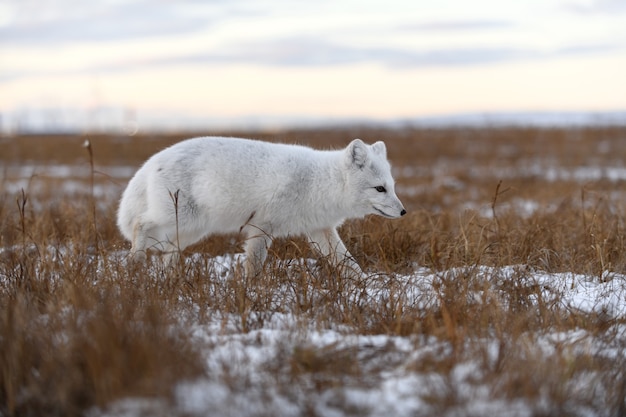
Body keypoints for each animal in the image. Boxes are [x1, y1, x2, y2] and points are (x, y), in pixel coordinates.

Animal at [116, 137, 404, 276]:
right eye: (380, 188)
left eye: (392, 186)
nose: (403, 212)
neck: (321, 182)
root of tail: (154, 160)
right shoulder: (262, 225)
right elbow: (254, 262)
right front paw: (251, 291)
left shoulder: (319, 229)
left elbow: (347, 261)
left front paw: (365, 286)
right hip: (178, 218)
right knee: (140, 224)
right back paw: (135, 260)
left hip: (189, 231)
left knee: (168, 254)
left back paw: (167, 279)